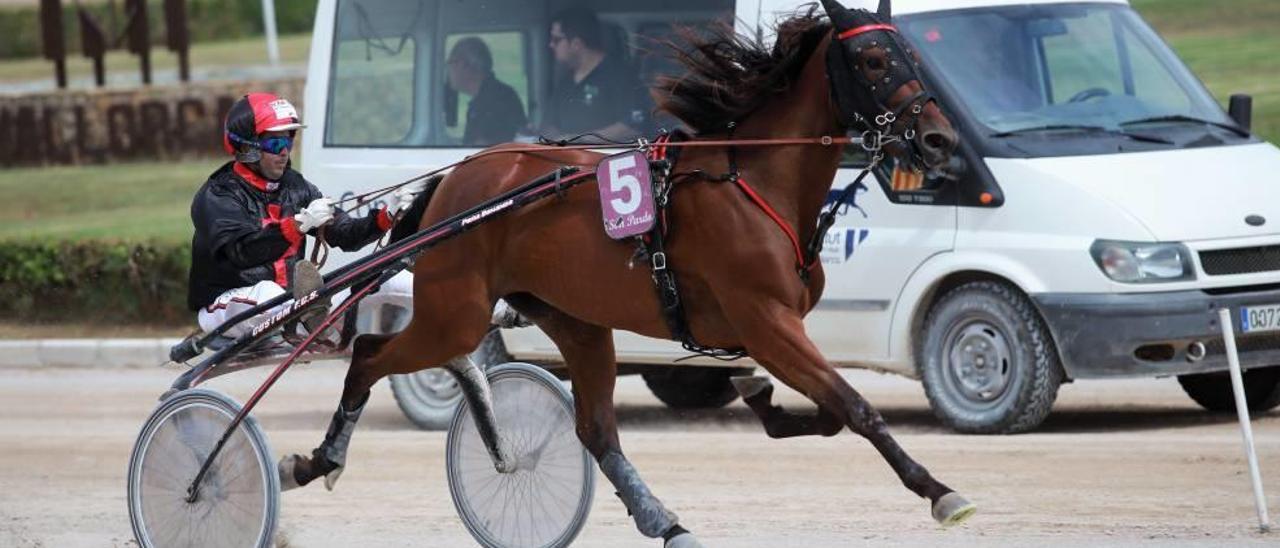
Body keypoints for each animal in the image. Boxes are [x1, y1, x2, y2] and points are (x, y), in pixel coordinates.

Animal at [285, 1, 972, 542]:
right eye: (874, 60)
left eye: (910, 54)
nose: (941, 141)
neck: (755, 180)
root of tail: (455, 181)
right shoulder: (766, 322)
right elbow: (857, 408)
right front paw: (941, 492)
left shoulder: (772, 331)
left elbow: (831, 411)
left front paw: (763, 399)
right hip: (456, 315)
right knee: (370, 353)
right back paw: (318, 461)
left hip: (576, 321)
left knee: (595, 429)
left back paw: (663, 519)